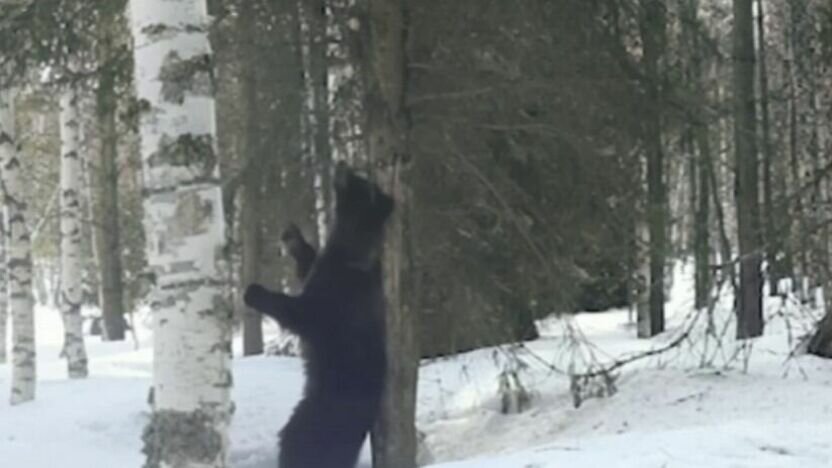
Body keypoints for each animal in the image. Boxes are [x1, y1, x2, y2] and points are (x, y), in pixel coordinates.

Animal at [244, 162, 394, 468]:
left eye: (360, 181)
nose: (342, 164)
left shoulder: (333, 302)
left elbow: (298, 313)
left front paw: (254, 291)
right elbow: (307, 264)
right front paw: (294, 238)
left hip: (318, 415)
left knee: (298, 444)